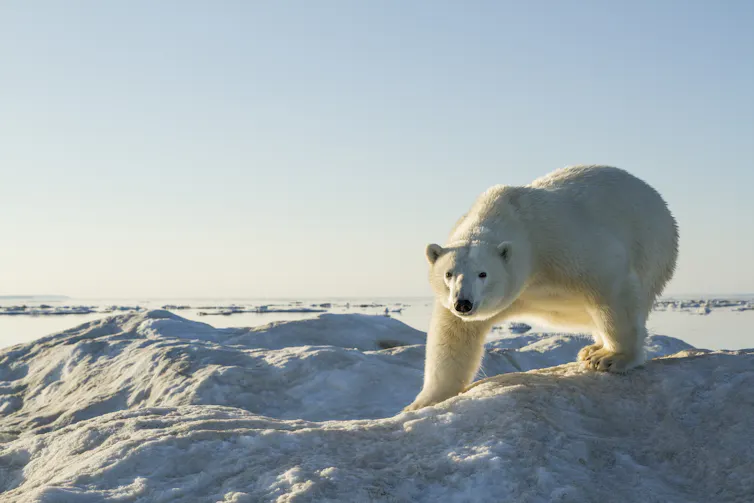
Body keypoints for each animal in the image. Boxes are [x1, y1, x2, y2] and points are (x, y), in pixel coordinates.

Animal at [404, 165, 678, 411]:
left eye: (483, 273)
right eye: (448, 274)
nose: (463, 303)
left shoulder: (564, 244)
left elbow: (612, 285)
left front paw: (611, 358)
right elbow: (454, 334)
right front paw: (421, 403)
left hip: (653, 246)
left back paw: (595, 351)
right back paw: (591, 348)